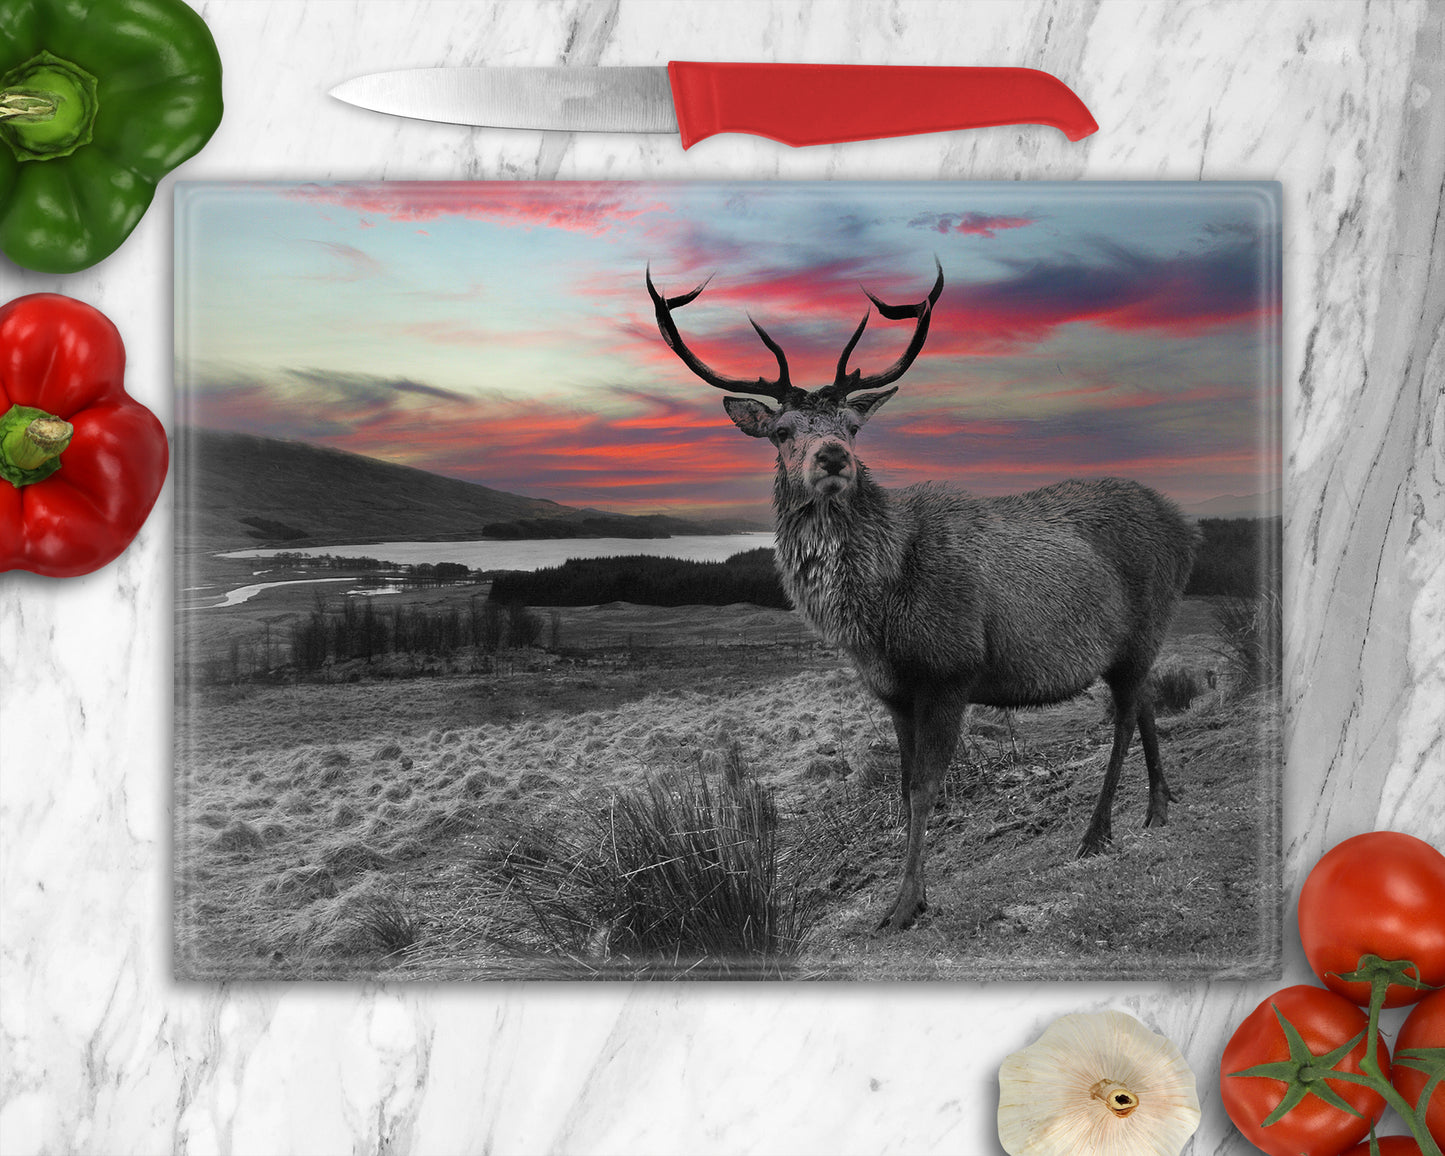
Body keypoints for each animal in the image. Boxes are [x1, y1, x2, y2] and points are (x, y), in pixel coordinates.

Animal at [646, 259, 1200, 934]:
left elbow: (926, 788)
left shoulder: (950, 669)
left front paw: (906, 903)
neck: (876, 618)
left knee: (1122, 717)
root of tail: (1187, 528)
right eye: (780, 430)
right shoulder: (892, 690)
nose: (835, 457)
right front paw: (911, 894)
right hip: (1134, 644)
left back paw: (1097, 833)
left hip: (1146, 623)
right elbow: (904, 784)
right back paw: (1159, 806)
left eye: (853, 426)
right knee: (1144, 701)